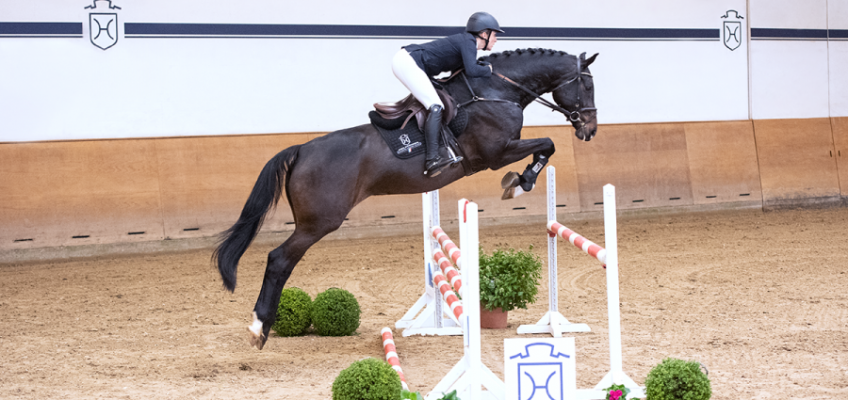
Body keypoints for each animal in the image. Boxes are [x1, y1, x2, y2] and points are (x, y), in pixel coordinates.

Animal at [214, 47, 596, 350]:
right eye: (588, 85)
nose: (589, 130)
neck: (496, 91)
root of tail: (301, 150)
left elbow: (546, 145)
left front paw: (519, 181)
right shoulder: (495, 153)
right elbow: (548, 143)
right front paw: (520, 182)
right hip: (319, 222)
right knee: (279, 260)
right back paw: (259, 328)